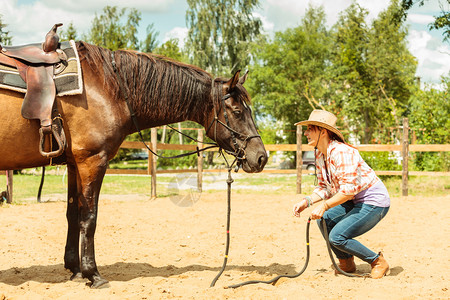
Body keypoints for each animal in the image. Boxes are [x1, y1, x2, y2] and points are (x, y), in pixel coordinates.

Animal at [0, 41, 268, 288]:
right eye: (236, 111)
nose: (261, 157)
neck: (109, 85)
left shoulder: (75, 164)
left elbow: (73, 215)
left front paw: (75, 269)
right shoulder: (92, 161)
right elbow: (89, 217)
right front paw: (92, 274)